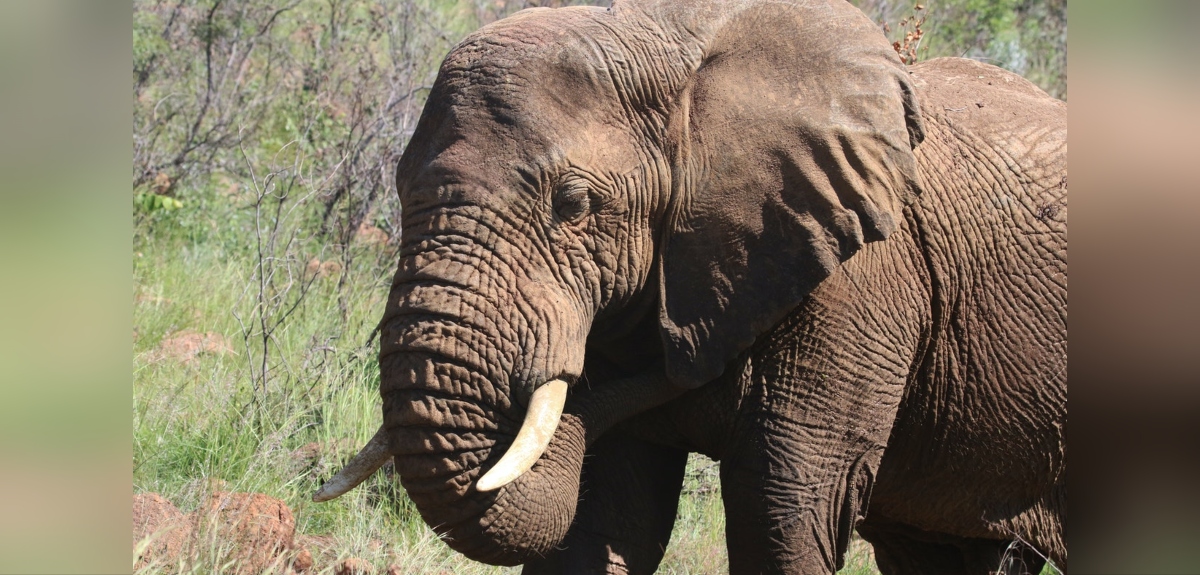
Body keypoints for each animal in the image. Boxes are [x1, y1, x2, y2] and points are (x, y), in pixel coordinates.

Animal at [314, 0, 1067, 573]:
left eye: (574, 205)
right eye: (399, 191)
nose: (688, 361)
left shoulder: (861, 288)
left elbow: (784, 508)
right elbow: (605, 513)